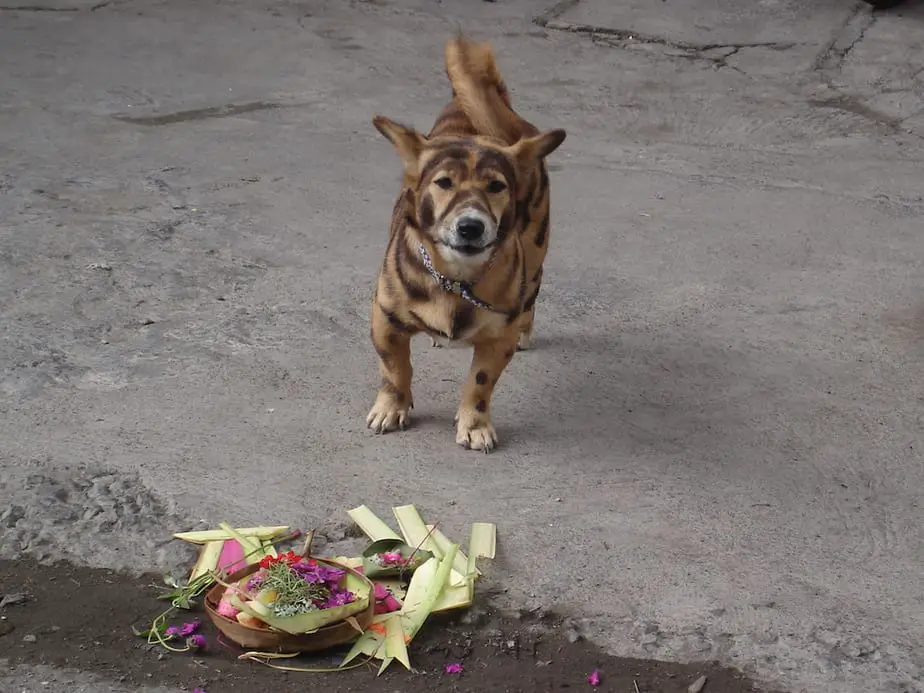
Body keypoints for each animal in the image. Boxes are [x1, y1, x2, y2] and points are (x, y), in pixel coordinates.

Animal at [364, 35, 568, 452]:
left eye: (497, 186)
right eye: (443, 182)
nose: (471, 227)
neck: (456, 278)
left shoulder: (498, 338)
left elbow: (480, 383)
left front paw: (474, 423)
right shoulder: (385, 319)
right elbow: (395, 369)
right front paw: (392, 406)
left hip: (536, 253)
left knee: (531, 296)